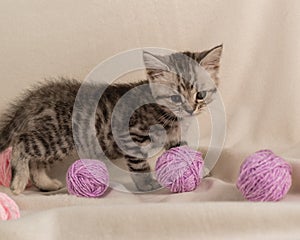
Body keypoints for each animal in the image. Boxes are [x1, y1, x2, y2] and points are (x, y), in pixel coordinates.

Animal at [0, 45, 223, 195]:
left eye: (200, 95)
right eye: (175, 98)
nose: (190, 109)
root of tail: (37, 96)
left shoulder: (174, 138)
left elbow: (183, 152)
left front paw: (199, 170)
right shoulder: (131, 135)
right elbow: (139, 164)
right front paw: (147, 184)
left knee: (37, 161)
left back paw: (46, 184)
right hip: (56, 137)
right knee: (22, 143)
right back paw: (18, 182)